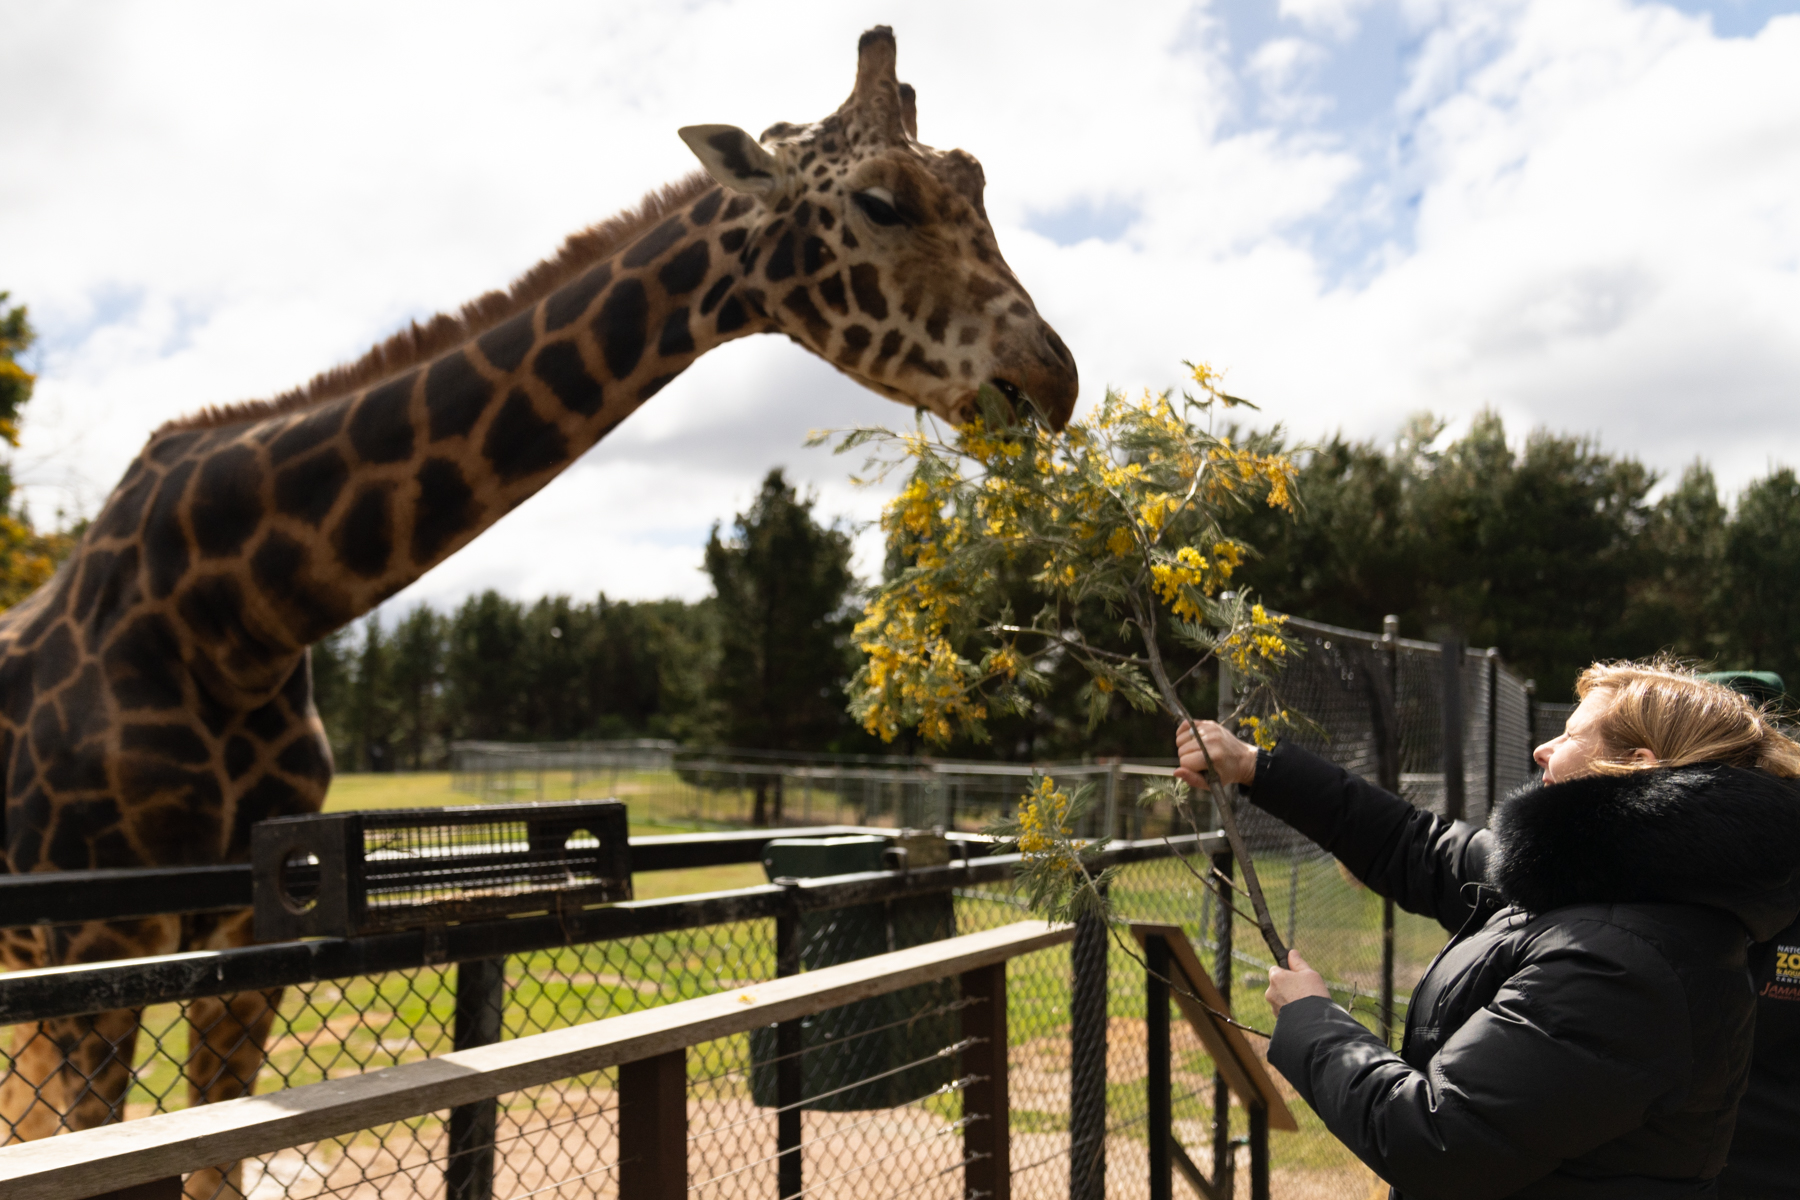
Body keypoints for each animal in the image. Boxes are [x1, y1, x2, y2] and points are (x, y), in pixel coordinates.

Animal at [0, 24, 1076, 1197]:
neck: (237, 618)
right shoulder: (98, 941)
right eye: (883, 202)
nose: (1051, 381)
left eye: (976, 183)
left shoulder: (248, 933)